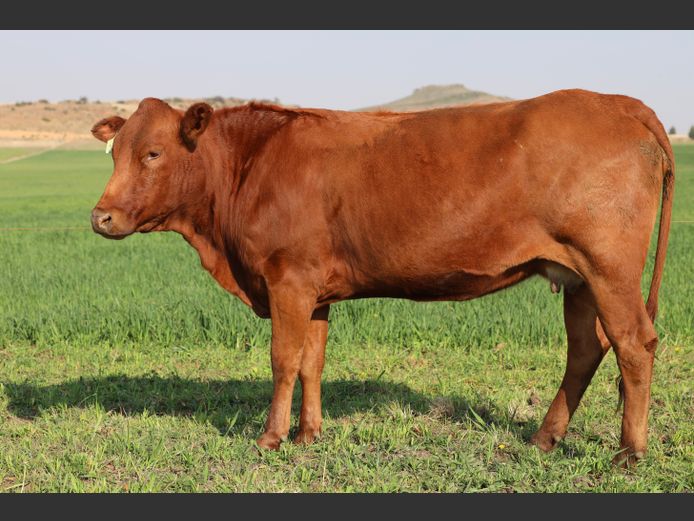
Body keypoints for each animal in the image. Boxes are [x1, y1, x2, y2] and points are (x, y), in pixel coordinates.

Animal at [90, 89, 674, 466]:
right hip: (577, 277)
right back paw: (544, 439)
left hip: (608, 268)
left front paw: (270, 438)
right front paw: (308, 435)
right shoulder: (314, 290)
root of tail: (622, 103)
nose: (101, 217)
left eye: (153, 153)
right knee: (587, 349)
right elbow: (312, 361)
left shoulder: (287, 280)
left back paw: (629, 453)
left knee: (633, 344)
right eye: (114, 153)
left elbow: (283, 360)